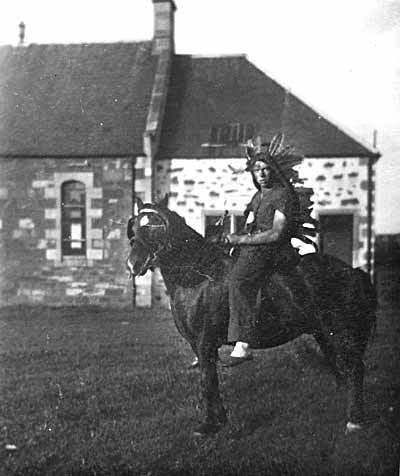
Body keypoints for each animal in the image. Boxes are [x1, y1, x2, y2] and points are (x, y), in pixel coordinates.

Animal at [126, 195, 376, 436]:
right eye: (135, 226)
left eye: (156, 225)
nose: (133, 264)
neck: (198, 276)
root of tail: (354, 271)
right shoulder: (198, 346)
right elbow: (210, 381)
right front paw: (218, 421)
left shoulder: (205, 343)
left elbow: (207, 381)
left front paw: (209, 425)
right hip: (323, 334)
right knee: (342, 369)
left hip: (343, 333)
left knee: (355, 369)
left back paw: (355, 421)